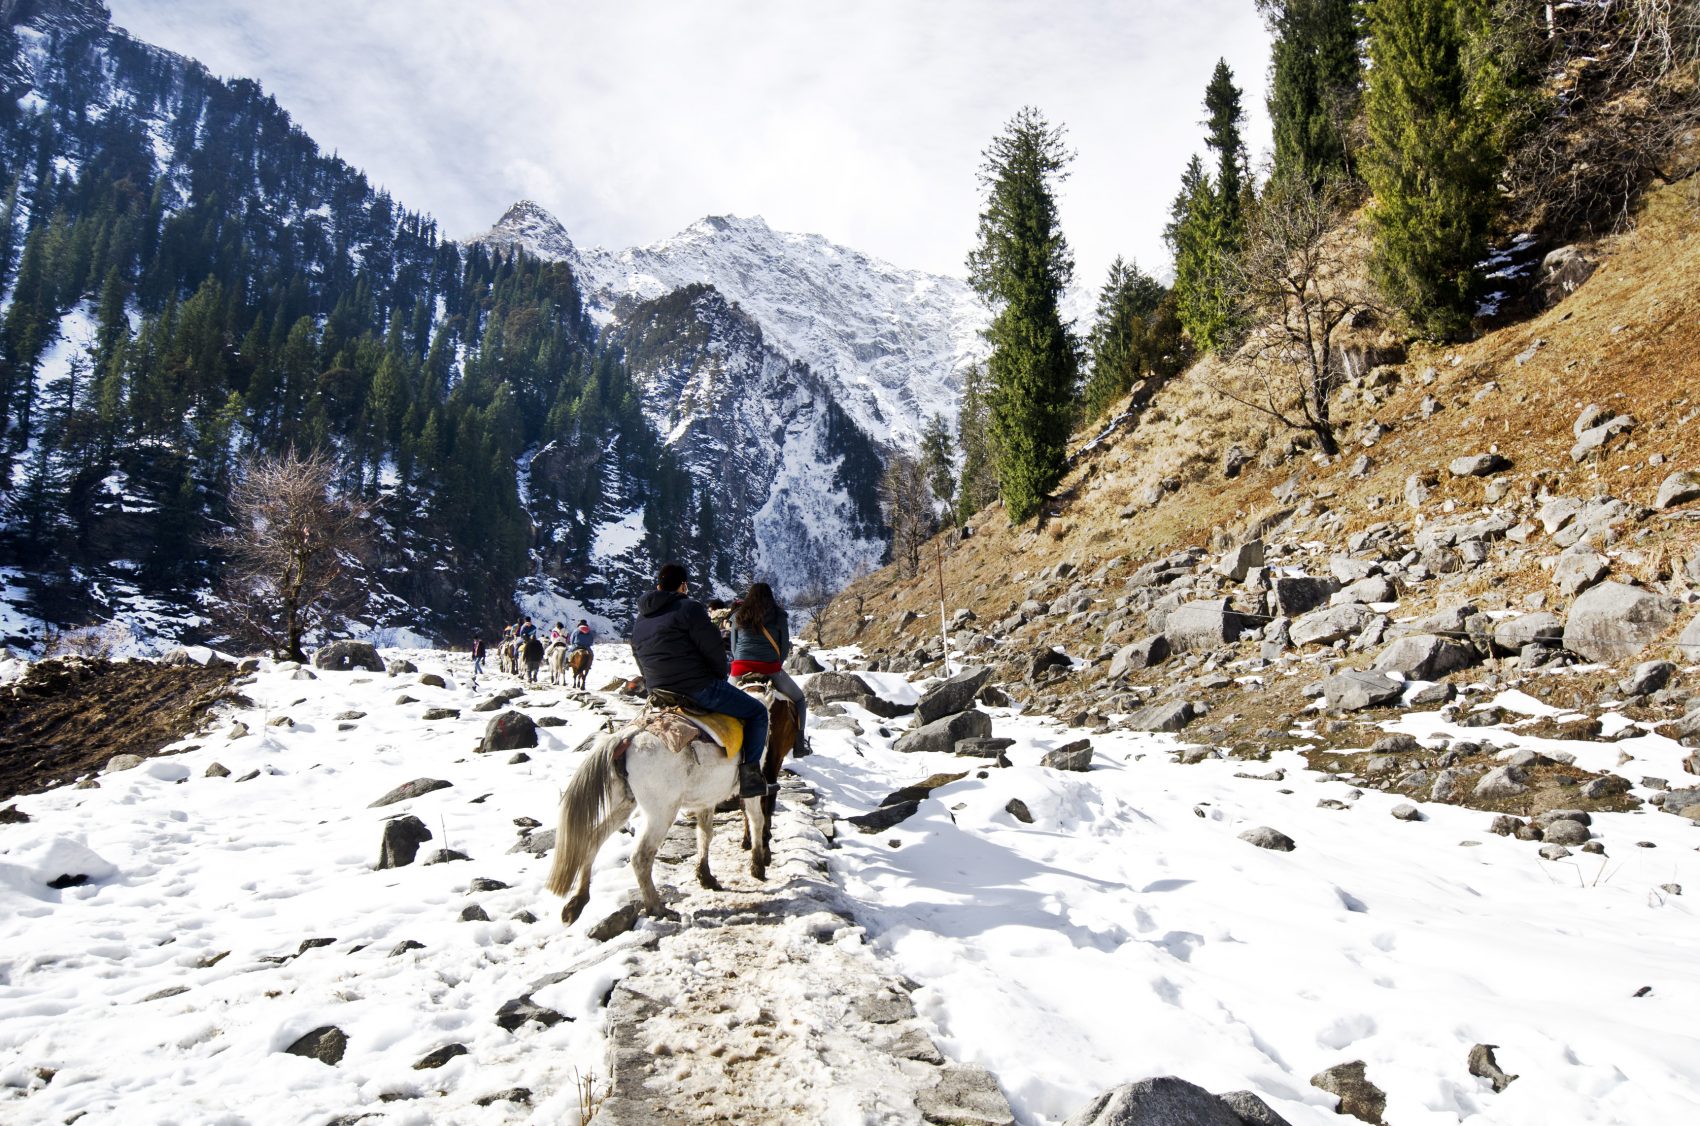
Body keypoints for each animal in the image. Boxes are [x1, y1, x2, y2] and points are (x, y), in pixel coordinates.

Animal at [544, 727, 771, 932]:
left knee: (593, 838)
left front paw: (706, 877)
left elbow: (705, 834)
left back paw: (576, 903)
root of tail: (626, 738)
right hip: (661, 812)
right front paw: (758, 866)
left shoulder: (706, 799)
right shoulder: (748, 790)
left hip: (625, 804)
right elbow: (756, 819)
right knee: (640, 856)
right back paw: (657, 908)